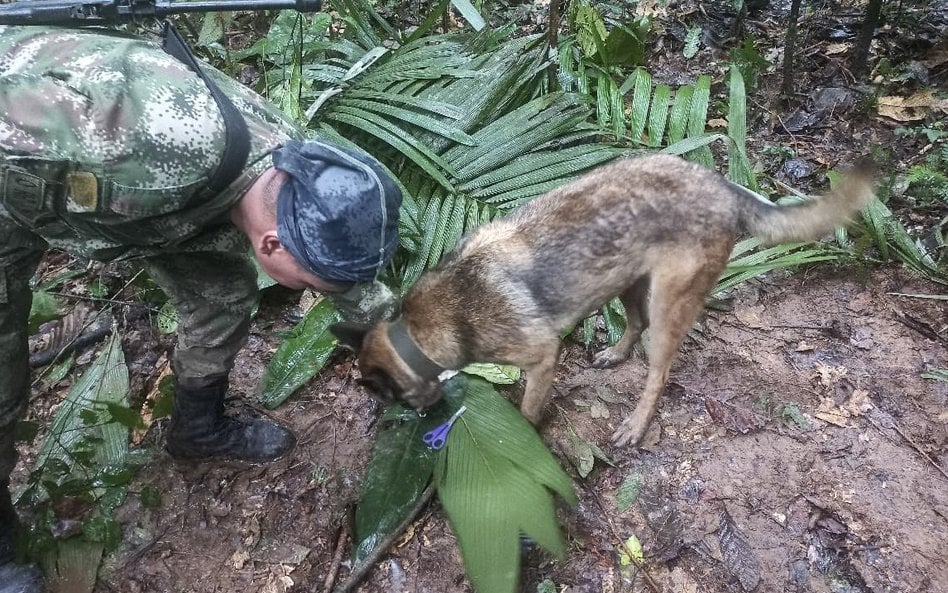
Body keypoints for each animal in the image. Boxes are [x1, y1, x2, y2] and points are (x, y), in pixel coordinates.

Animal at [332, 155, 872, 446]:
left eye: (388, 397)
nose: (423, 419)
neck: (419, 330)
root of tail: (722, 186)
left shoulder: (541, 357)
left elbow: (528, 410)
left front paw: (524, 435)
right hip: (627, 281)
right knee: (633, 325)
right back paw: (615, 354)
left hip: (668, 303)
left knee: (658, 371)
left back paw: (636, 423)